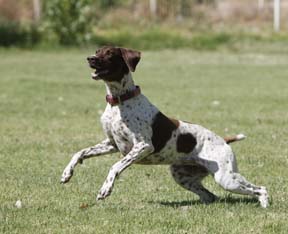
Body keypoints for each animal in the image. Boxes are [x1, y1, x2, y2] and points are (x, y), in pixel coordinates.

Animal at [59, 46, 268, 207]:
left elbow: (115, 166)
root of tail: (224, 140)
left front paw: (106, 188)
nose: (90, 58)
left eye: (109, 53)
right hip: (182, 175)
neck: (119, 102)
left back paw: (265, 205)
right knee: (210, 196)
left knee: (261, 189)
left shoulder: (143, 146)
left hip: (226, 178)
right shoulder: (112, 144)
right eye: (97, 51)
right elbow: (80, 152)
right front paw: (67, 173)